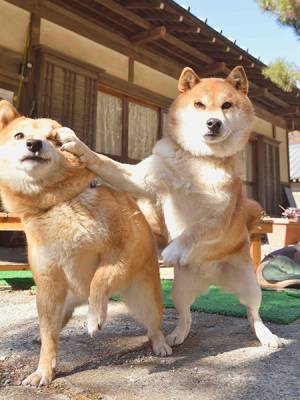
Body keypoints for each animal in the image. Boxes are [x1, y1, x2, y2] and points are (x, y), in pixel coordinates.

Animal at [0, 101, 171, 388]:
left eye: (54, 139)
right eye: (19, 135)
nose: (34, 144)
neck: (58, 202)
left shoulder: (120, 255)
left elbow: (99, 281)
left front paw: (95, 318)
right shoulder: (48, 285)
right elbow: (49, 340)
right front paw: (43, 371)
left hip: (144, 299)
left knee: (152, 325)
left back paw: (160, 343)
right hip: (56, 302)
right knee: (51, 327)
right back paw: (40, 335)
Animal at [61, 65, 284, 350]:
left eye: (227, 105)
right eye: (199, 104)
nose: (214, 122)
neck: (198, 161)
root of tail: (212, 279)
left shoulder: (219, 218)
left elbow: (194, 231)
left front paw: (173, 250)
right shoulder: (140, 180)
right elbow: (102, 161)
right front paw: (77, 144)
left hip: (250, 286)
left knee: (252, 314)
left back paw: (266, 335)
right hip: (180, 290)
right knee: (186, 315)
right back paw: (177, 335)